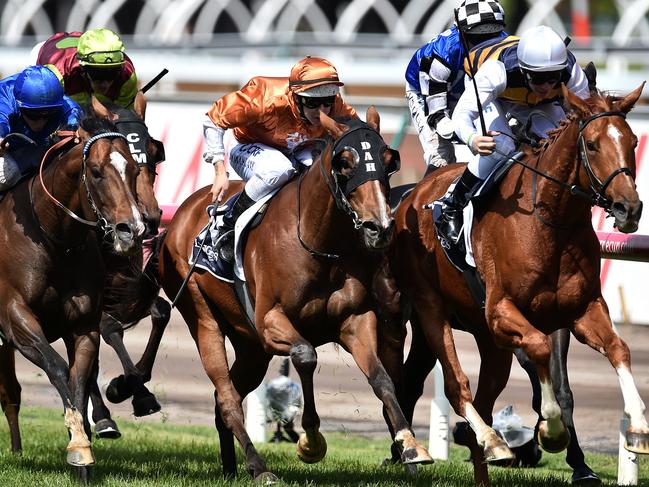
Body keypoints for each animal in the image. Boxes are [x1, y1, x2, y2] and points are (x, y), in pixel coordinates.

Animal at [0, 97, 144, 474]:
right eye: (95, 171)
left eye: (134, 170)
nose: (132, 229)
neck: (52, 238)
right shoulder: (15, 316)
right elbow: (58, 368)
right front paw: (79, 441)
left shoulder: (82, 325)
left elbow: (78, 378)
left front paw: (82, 454)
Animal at [156, 108, 430, 482]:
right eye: (345, 162)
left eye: (389, 161)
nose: (380, 227)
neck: (319, 242)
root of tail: (182, 212)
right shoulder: (271, 322)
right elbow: (305, 355)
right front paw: (310, 441)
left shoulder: (355, 321)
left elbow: (383, 380)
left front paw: (411, 448)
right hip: (203, 316)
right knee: (226, 398)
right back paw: (259, 467)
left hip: (250, 347)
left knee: (222, 397)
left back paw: (232, 467)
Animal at [378, 86, 648, 486]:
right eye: (593, 144)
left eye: (632, 142)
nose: (629, 208)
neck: (549, 220)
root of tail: (412, 196)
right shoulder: (503, 311)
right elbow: (538, 351)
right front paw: (551, 430)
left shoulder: (581, 310)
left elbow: (618, 349)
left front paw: (638, 429)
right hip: (430, 312)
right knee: (454, 385)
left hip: (482, 340)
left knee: (465, 397)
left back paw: (480, 452)